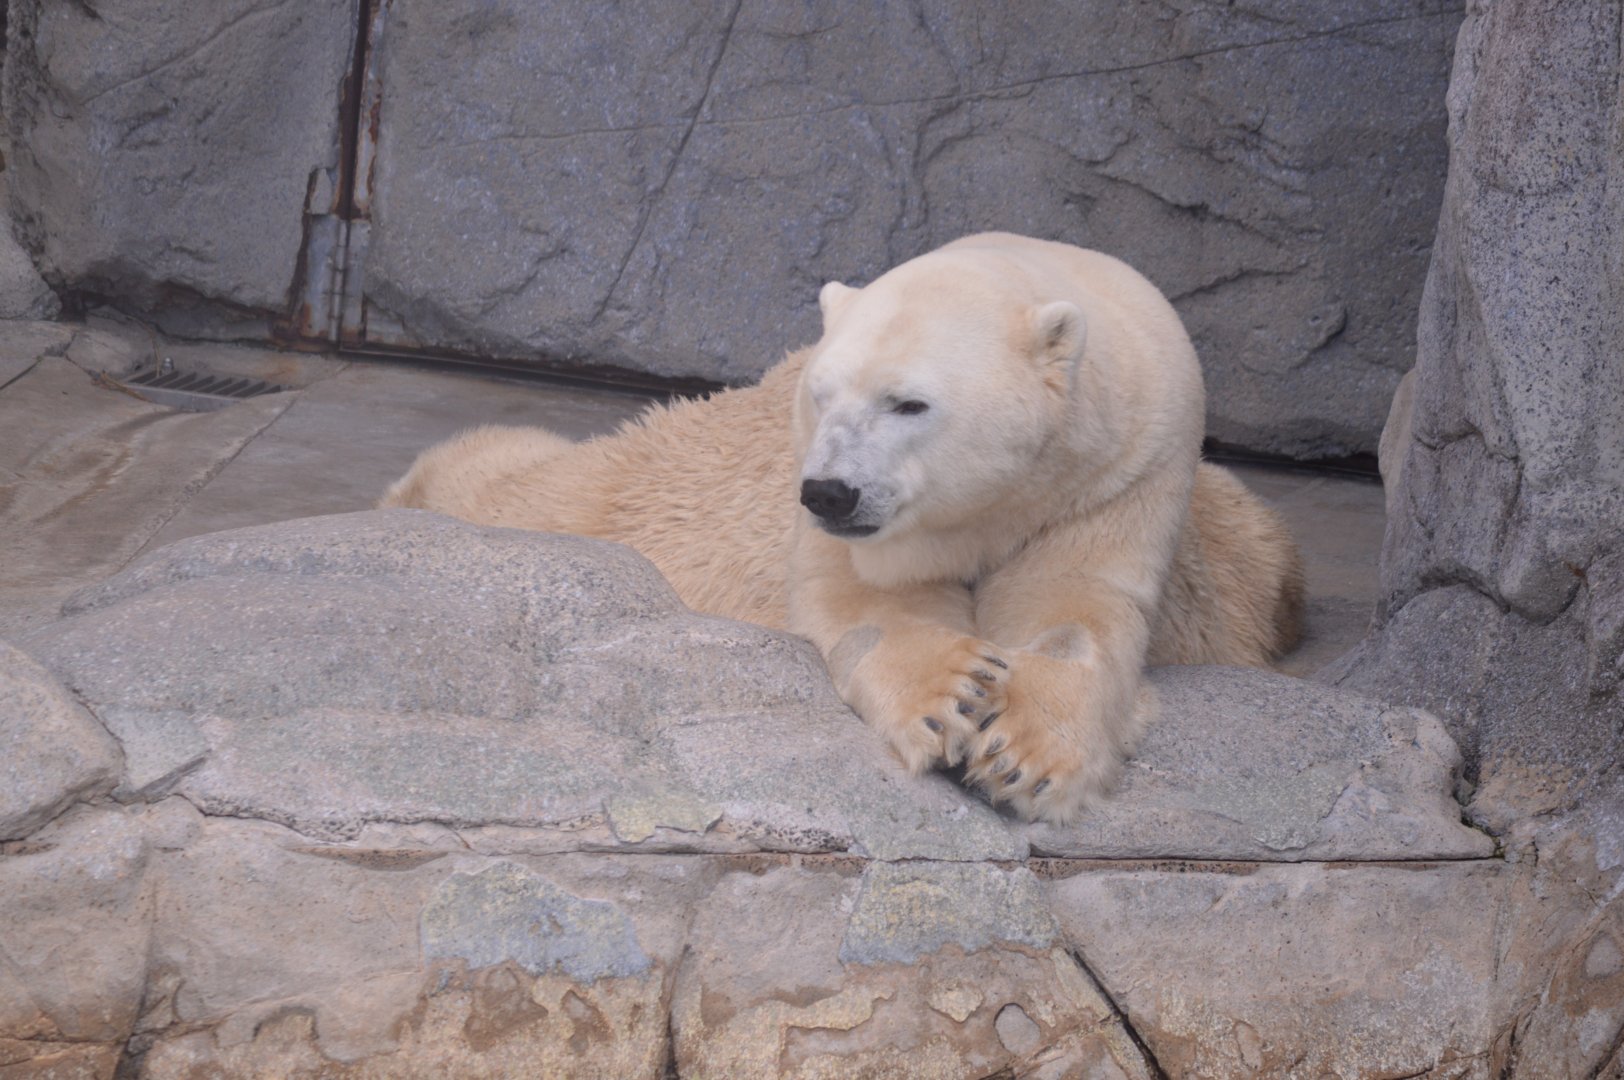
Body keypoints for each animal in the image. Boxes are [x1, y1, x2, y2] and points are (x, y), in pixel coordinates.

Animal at [383, 233, 1304, 823]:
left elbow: (1073, 606)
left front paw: (1025, 756)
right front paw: (948, 698)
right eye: (825, 393)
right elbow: (872, 598)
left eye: (910, 402)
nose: (827, 492)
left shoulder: (1124, 467)